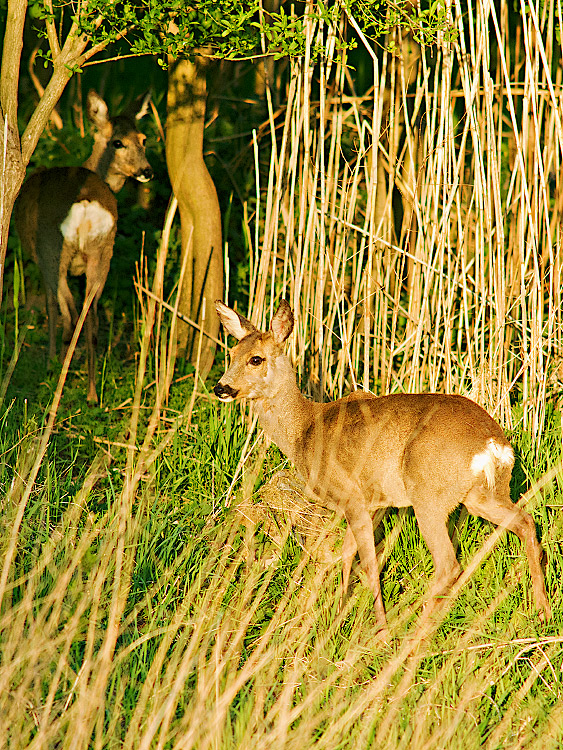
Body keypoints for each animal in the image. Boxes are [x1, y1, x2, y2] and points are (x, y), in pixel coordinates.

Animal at [16, 91, 152, 402]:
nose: (146, 171)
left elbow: (54, 307)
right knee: (92, 318)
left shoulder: (41, 256)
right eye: (119, 142)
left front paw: (53, 357)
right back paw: (91, 394)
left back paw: (56, 369)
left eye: (142, 139)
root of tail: (86, 202)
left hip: (53, 247)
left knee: (67, 312)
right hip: (102, 252)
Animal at [215, 300, 552, 636]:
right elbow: (346, 554)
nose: (222, 388)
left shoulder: (350, 495)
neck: (305, 430)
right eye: (232, 354)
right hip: (483, 494)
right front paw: (338, 615)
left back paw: (411, 634)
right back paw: (541, 613)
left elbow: (367, 562)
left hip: (428, 494)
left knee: (448, 564)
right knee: (525, 522)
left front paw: (378, 628)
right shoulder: (375, 502)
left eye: (256, 359)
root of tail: (492, 443)